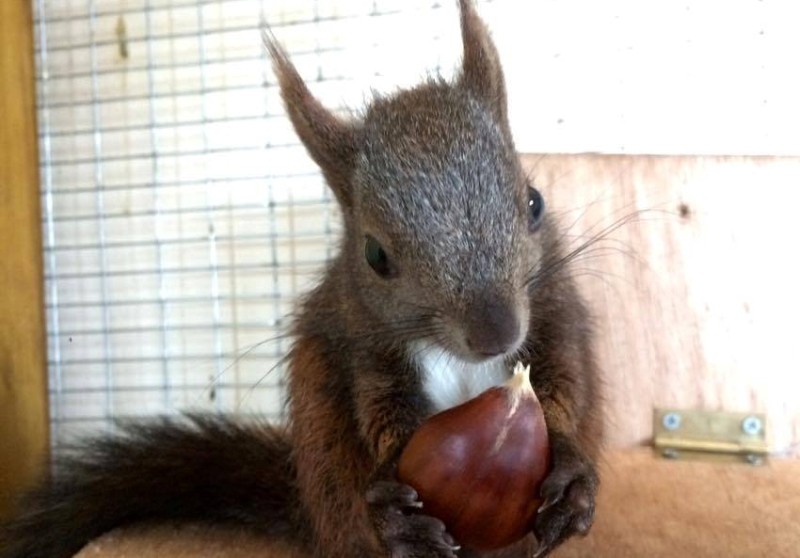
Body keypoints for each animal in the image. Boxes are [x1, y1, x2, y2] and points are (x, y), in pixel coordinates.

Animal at [0, 1, 600, 558]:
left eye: (534, 203)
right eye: (375, 255)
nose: (496, 334)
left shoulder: (552, 310)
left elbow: (563, 380)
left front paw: (571, 472)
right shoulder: (364, 343)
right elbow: (379, 413)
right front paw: (392, 500)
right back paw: (393, 527)